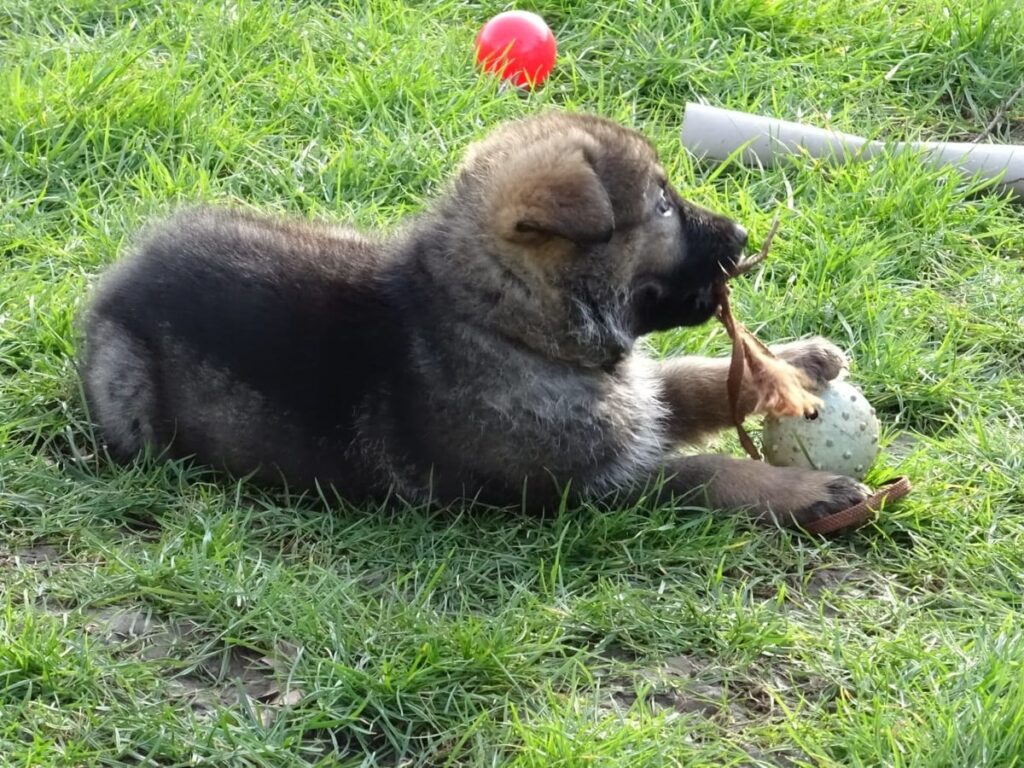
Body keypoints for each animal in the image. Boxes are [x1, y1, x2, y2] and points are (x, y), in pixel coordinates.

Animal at [80, 112, 869, 525]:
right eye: (663, 206)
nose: (741, 234)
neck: (512, 330)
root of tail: (125, 276)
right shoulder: (588, 486)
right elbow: (704, 471)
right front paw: (807, 492)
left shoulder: (633, 403)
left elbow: (698, 381)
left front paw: (795, 361)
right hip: (131, 402)